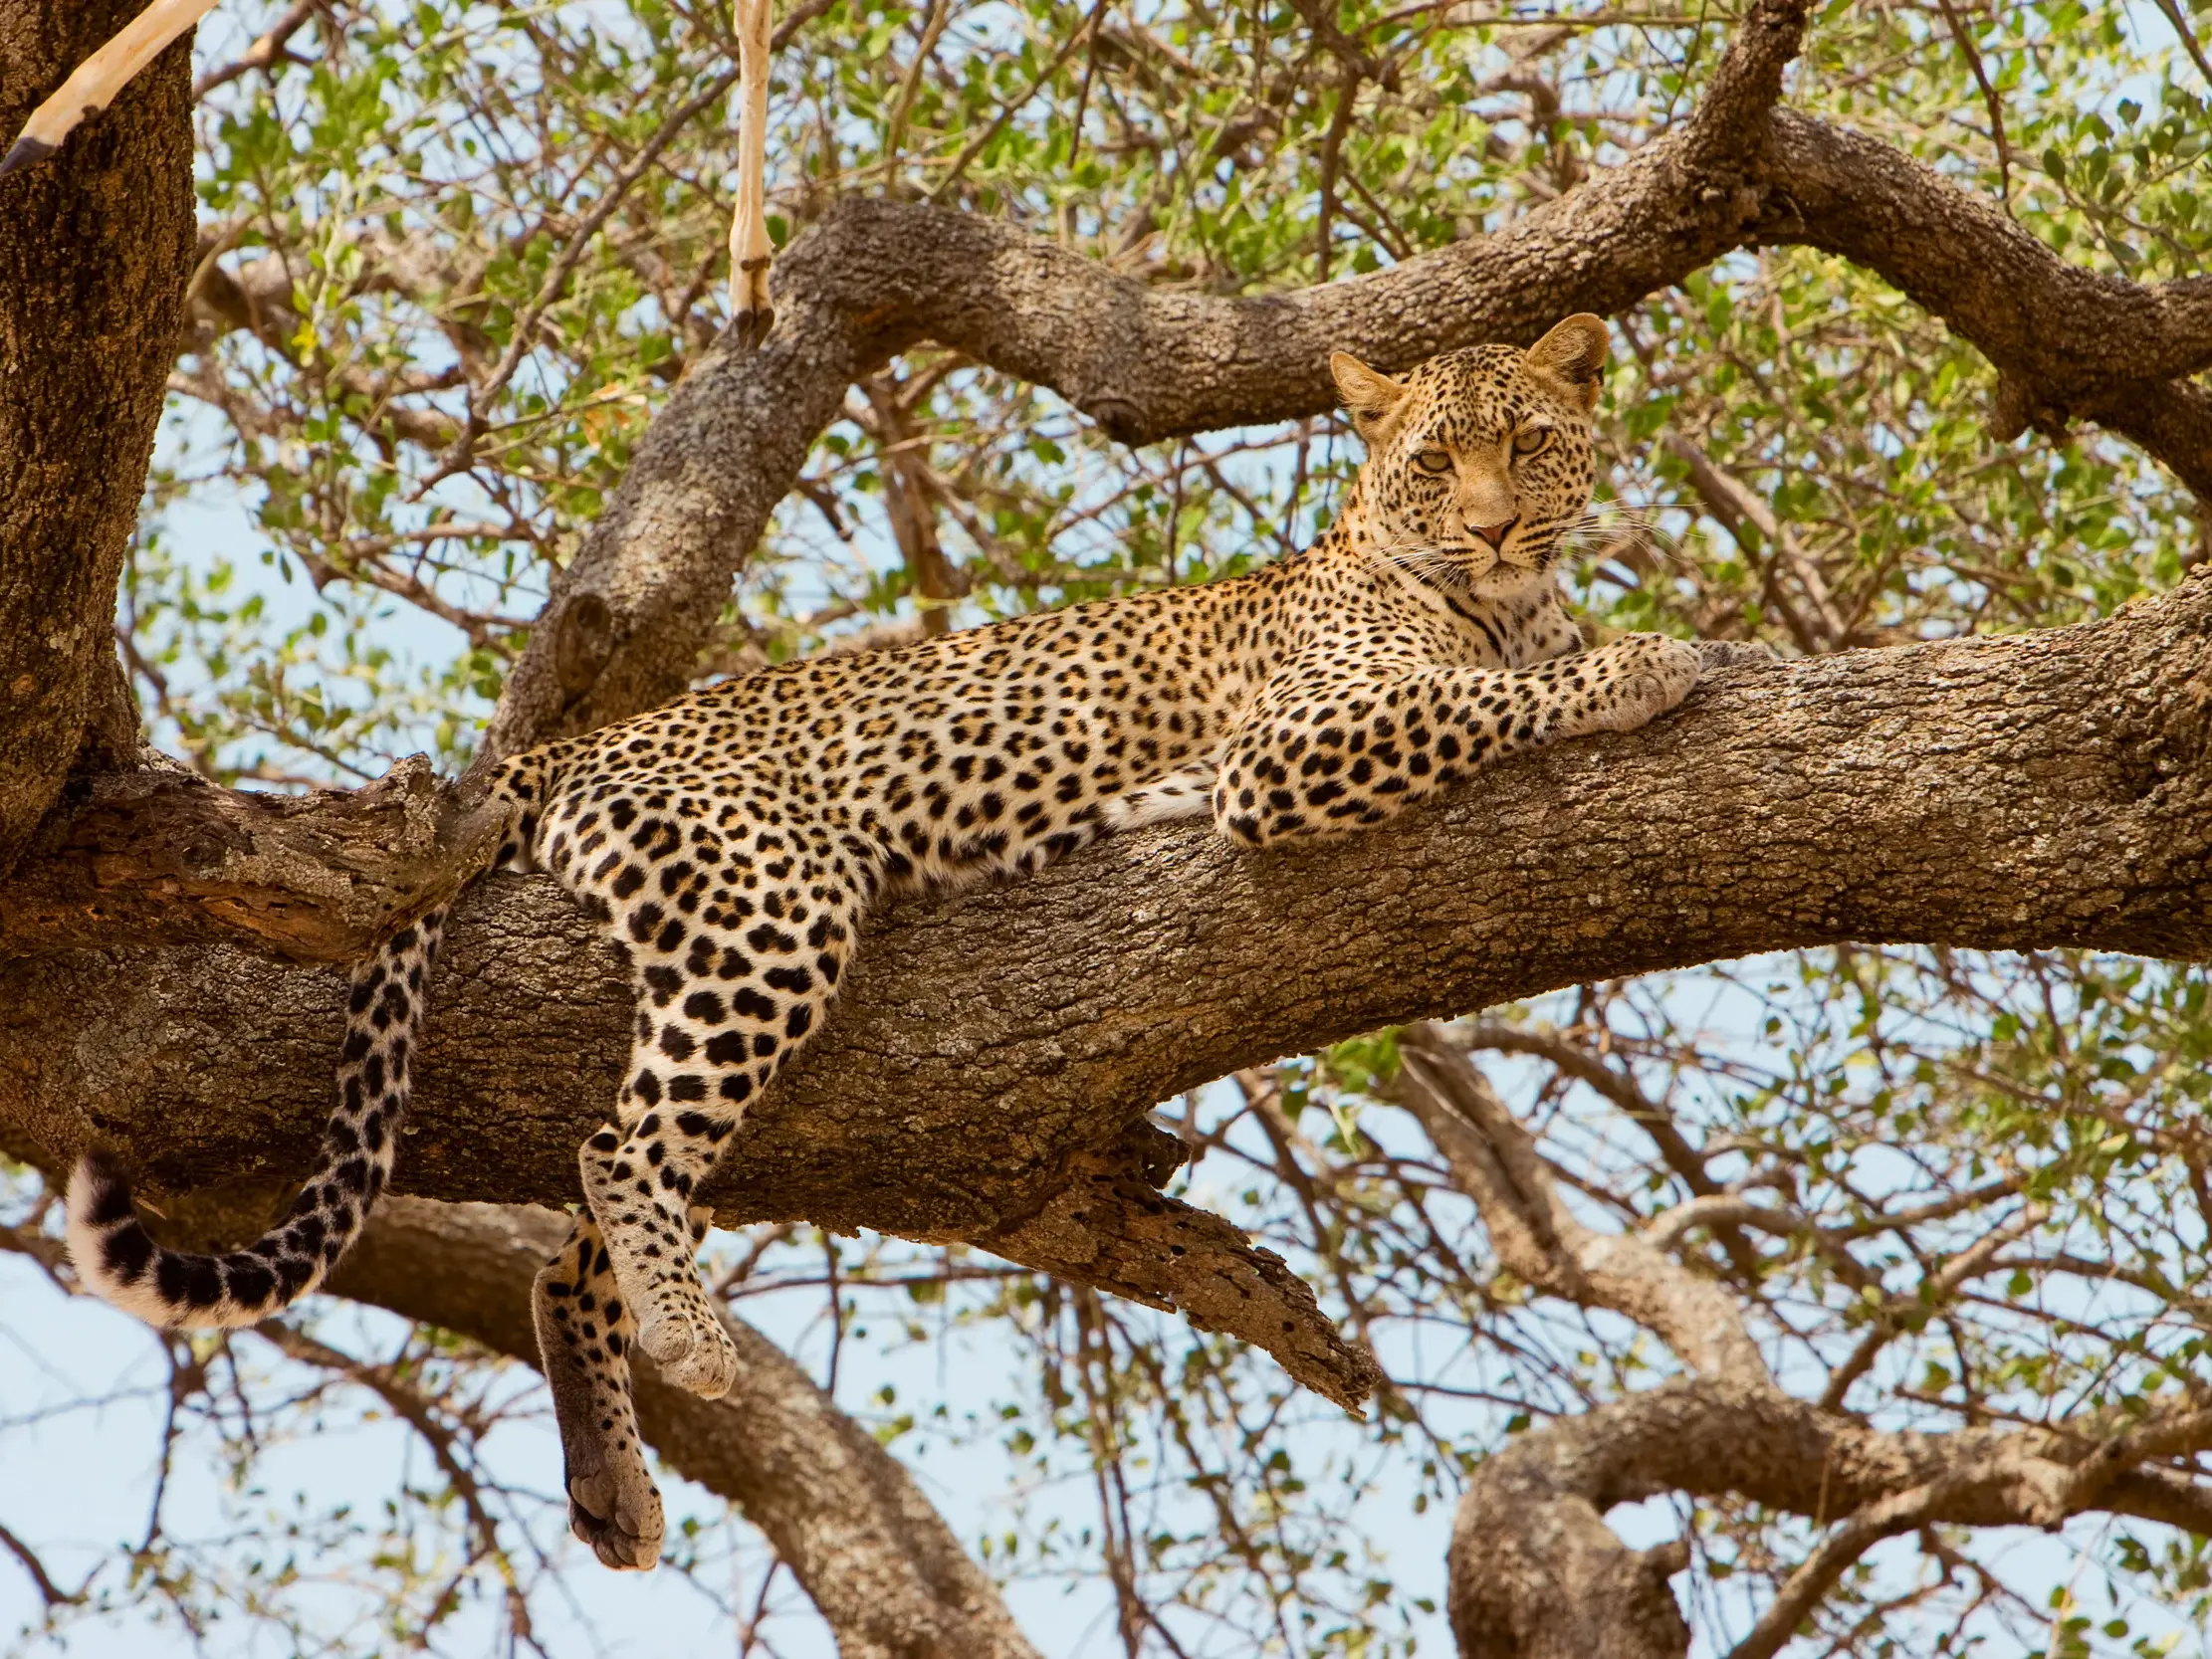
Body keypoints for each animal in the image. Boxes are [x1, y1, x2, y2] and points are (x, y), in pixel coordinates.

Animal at [66, 313, 1724, 1571]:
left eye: (1527, 443)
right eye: (1437, 461)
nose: (1493, 524)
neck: (1501, 595)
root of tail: (576, 741)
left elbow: (1511, 673)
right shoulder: (1292, 743)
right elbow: (1487, 696)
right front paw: (1651, 660)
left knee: (564, 1248)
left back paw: (613, 1474)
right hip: (769, 905)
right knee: (617, 1150)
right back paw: (694, 1340)